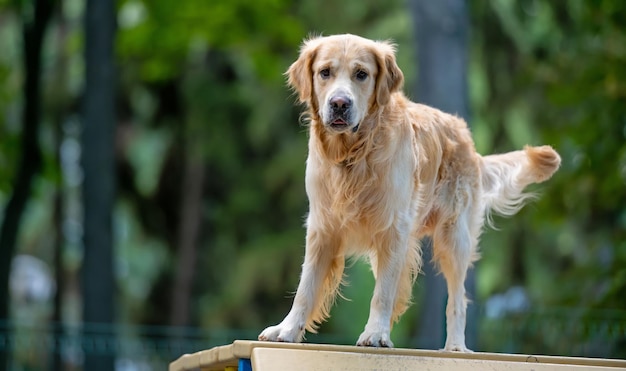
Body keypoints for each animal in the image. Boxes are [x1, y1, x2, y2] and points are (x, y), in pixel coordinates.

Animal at [256, 34, 560, 352]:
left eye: (361, 74)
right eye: (325, 72)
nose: (340, 103)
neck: (353, 154)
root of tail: (465, 135)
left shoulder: (393, 228)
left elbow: (383, 293)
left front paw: (376, 334)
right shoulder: (322, 227)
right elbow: (306, 287)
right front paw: (286, 329)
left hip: (455, 237)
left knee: (457, 300)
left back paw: (455, 346)